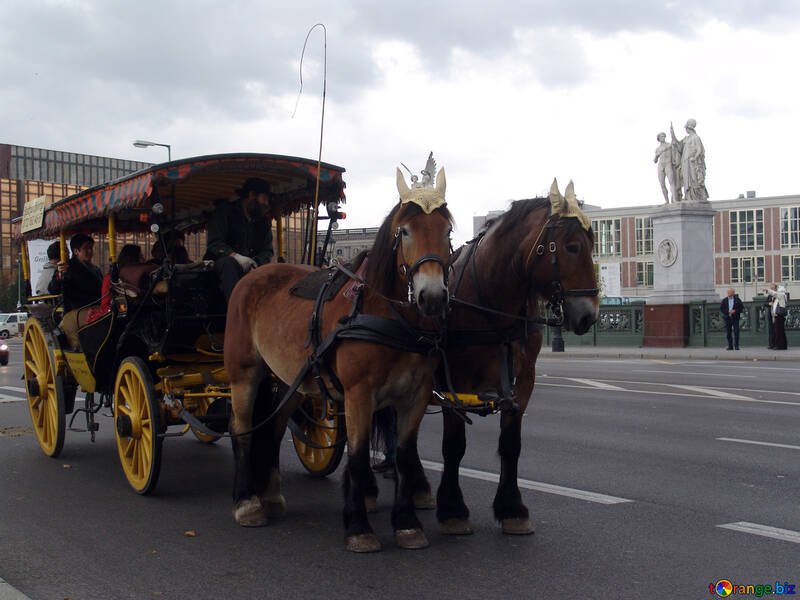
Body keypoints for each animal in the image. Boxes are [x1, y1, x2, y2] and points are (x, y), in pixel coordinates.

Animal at [225, 166, 454, 552]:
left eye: (447, 230)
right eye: (405, 230)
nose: (433, 297)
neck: (386, 315)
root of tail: (254, 273)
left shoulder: (416, 396)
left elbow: (405, 456)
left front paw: (407, 524)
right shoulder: (359, 394)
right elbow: (359, 455)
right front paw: (359, 526)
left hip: (293, 381)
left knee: (273, 427)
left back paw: (270, 495)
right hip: (244, 374)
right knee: (241, 429)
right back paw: (247, 503)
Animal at [428, 178, 596, 536]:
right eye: (572, 247)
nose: (589, 315)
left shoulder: (523, 381)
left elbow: (511, 444)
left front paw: (512, 508)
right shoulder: (453, 382)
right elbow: (454, 445)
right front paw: (452, 509)